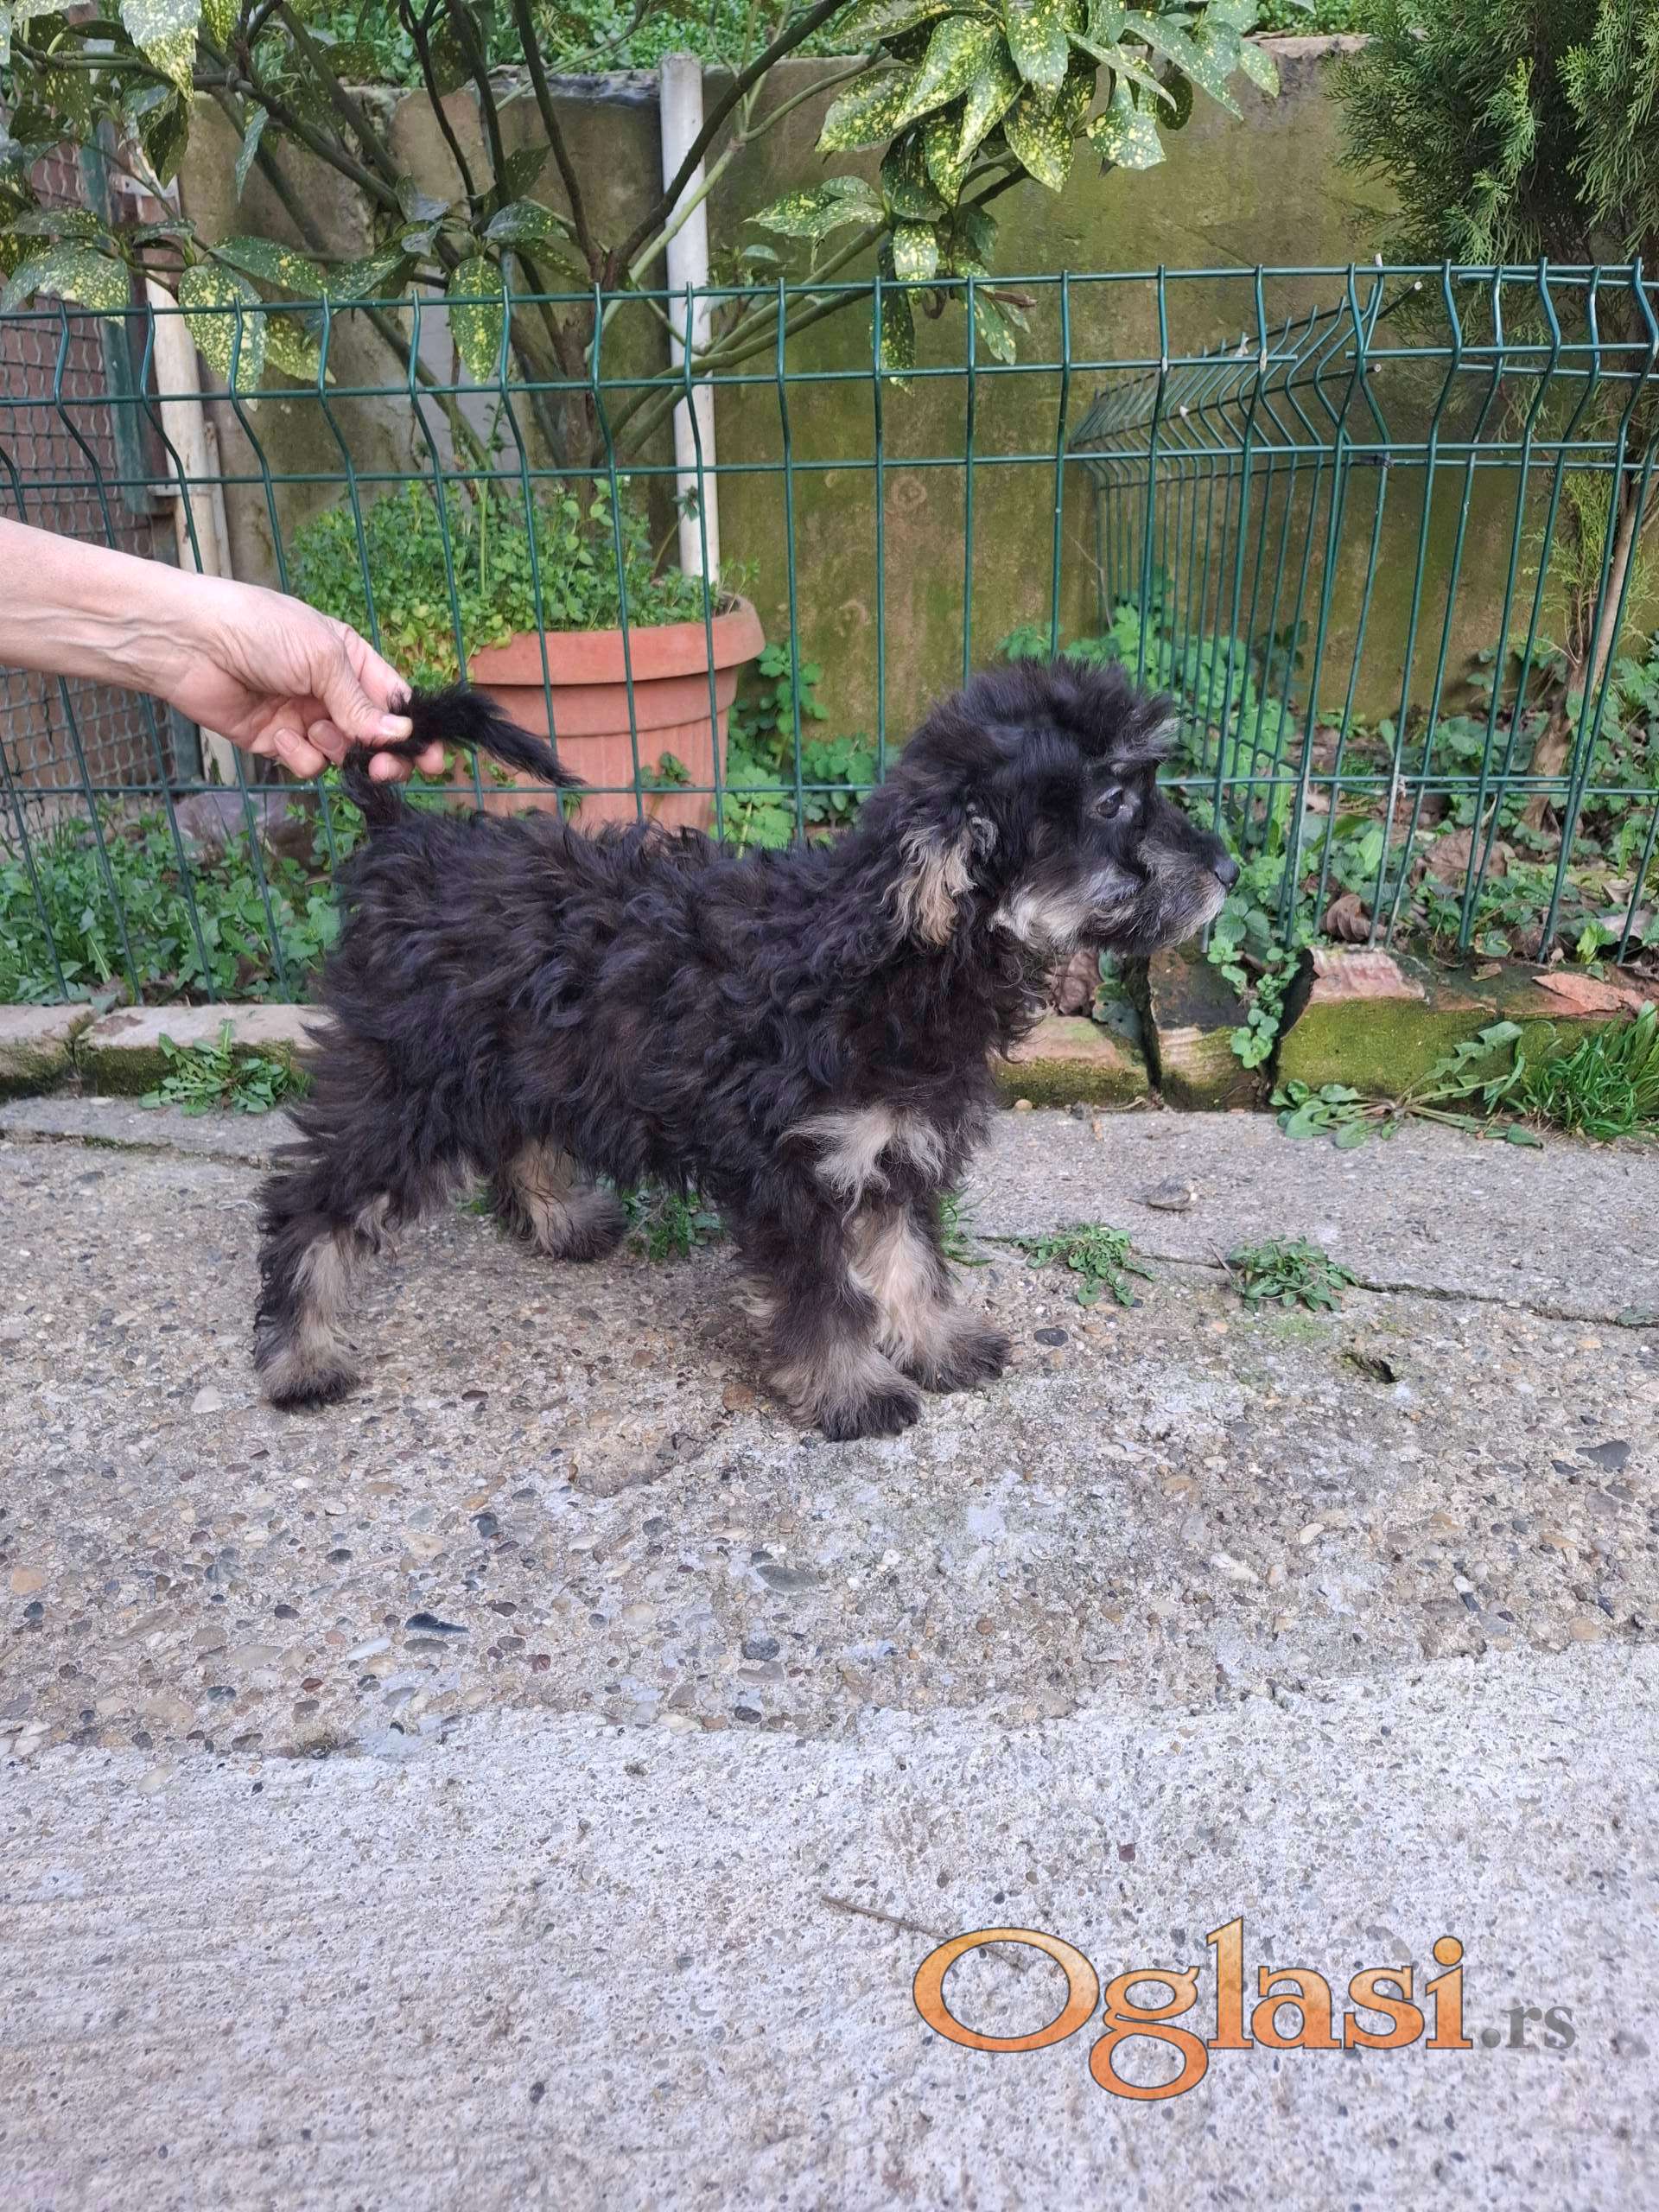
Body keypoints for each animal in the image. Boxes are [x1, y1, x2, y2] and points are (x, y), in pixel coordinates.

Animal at [254, 659, 1238, 1440]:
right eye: (1113, 801)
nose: (1227, 870)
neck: (891, 960)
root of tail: (403, 840)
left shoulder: (894, 1148)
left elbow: (911, 1263)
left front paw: (938, 1346)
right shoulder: (792, 1171)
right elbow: (826, 1297)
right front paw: (852, 1392)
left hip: (519, 1057)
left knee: (516, 1136)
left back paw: (562, 1222)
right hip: (409, 1085)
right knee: (309, 1201)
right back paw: (298, 1357)